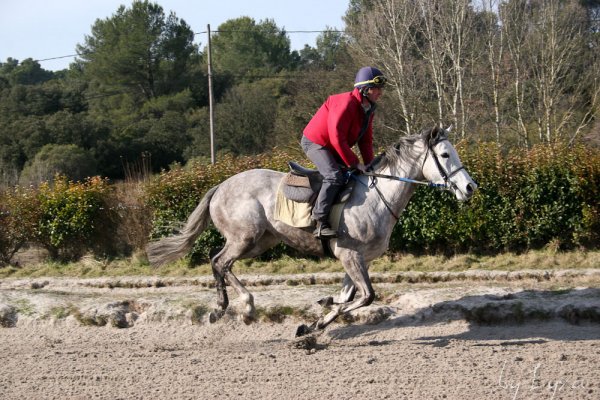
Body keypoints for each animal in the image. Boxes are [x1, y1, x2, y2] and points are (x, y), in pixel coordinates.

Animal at [146, 126, 478, 336]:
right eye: (445, 155)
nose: (470, 188)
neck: (379, 195)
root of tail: (220, 186)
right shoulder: (349, 254)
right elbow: (366, 297)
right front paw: (317, 322)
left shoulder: (358, 259)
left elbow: (346, 298)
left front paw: (315, 322)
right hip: (245, 237)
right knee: (219, 262)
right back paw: (234, 308)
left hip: (261, 242)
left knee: (221, 263)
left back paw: (237, 307)